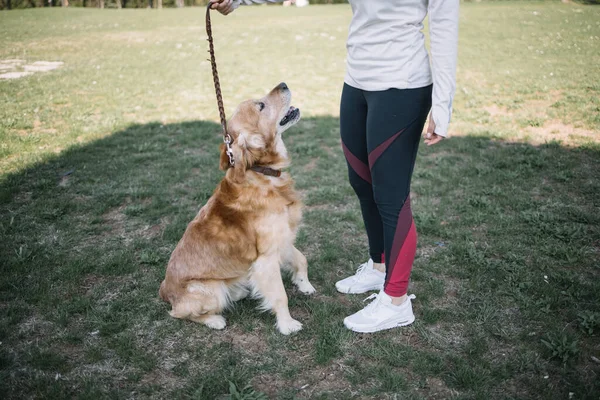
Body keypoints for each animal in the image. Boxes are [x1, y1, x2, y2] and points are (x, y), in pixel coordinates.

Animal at [159, 82, 318, 334]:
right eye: (261, 105)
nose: (283, 84)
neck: (263, 174)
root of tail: (164, 291)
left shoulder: (282, 239)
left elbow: (301, 259)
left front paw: (305, 285)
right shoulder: (266, 257)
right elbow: (280, 295)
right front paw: (287, 324)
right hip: (210, 290)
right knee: (181, 314)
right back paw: (215, 320)